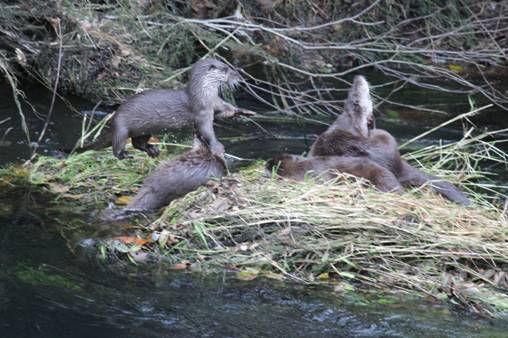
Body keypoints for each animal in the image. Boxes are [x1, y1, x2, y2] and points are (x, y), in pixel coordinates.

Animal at [75, 57, 254, 158]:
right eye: (226, 69)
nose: (240, 77)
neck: (206, 95)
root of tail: (112, 122)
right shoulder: (202, 111)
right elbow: (207, 131)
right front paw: (217, 147)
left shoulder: (216, 104)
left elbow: (226, 111)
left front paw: (245, 111)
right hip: (121, 127)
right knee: (118, 145)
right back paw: (124, 154)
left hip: (144, 130)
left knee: (137, 143)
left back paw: (152, 150)